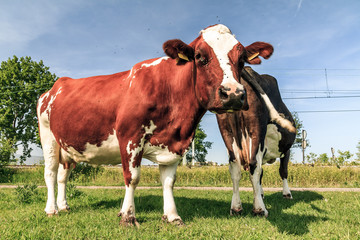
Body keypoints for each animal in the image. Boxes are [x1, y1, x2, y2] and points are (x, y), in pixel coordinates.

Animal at [36, 24, 272, 225]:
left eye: (241, 60)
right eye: (199, 56)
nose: (233, 94)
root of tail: (56, 86)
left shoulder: (175, 143)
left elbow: (168, 181)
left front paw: (172, 216)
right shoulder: (130, 137)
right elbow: (132, 178)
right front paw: (128, 217)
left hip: (67, 146)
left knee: (63, 175)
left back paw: (63, 206)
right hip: (48, 137)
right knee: (50, 173)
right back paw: (51, 209)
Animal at [217, 66, 296, 217]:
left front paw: (260, 193)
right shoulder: (286, 150)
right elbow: (283, 171)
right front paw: (287, 194)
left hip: (227, 132)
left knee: (234, 166)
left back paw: (236, 208)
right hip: (256, 131)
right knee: (254, 166)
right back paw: (260, 209)